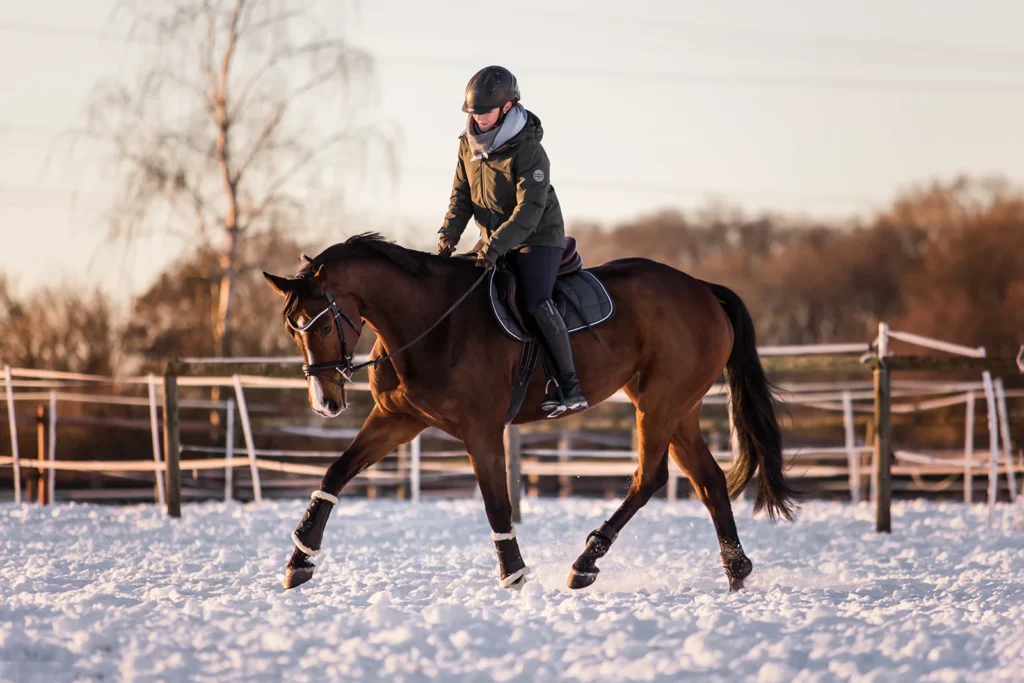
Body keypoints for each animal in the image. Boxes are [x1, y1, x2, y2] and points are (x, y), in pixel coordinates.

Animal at [263, 233, 797, 592]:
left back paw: (585, 564)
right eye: (292, 329)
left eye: (322, 324)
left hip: (660, 404)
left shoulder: (481, 430)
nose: (325, 403)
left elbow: (497, 503)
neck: (432, 322)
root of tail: (702, 288)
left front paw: (513, 573)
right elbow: (336, 472)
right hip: (678, 408)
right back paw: (736, 572)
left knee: (650, 478)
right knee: (708, 481)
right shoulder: (397, 420)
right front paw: (300, 560)